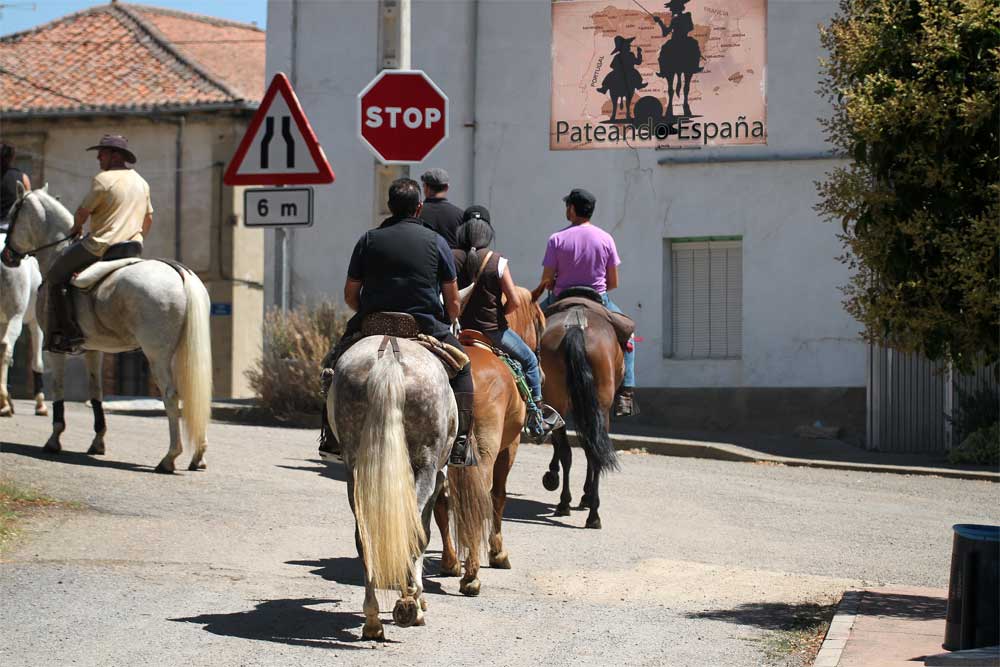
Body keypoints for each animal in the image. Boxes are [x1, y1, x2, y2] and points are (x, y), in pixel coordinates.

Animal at [0, 183, 213, 474]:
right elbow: (96, 393)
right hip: (183, 354)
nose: (7, 256)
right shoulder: (94, 350)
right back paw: (198, 456)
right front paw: (98, 441)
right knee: (195, 396)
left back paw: (170, 457)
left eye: (13, 213)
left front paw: (54, 439)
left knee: (171, 396)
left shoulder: (53, 348)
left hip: (157, 355)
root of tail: (179, 273)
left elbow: (59, 391)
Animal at [326, 336, 456, 640]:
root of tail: (388, 359)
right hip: (426, 466)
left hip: (355, 471)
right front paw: (418, 598)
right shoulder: (437, 476)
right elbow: (424, 532)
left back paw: (372, 620)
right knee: (412, 530)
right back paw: (409, 605)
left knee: (364, 537)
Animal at [436, 286, 548, 596]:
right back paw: (472, 576)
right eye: (541, 325)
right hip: (485, 452)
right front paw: (498, 553)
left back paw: (451, 563)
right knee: (478, 498)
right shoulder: (509, 448)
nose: (543, 373)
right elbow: (498, 496)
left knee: (442, 500)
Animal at [536, 302, 620, 528]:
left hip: (563, 401)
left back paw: (572, 505)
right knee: (591, 452)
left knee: (572, 451)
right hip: (598, 408)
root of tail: (575, 326)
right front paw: (586, 495)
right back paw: (589, 512)